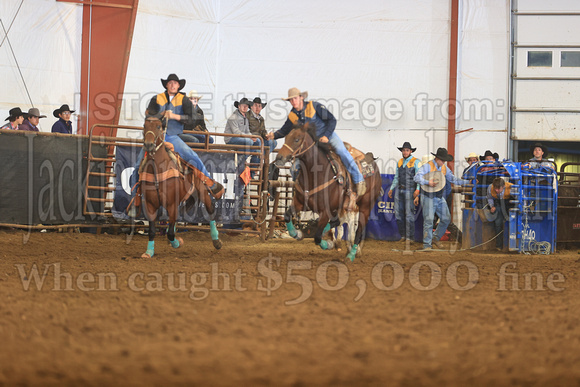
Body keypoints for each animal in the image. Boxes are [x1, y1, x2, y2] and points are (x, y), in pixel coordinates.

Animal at [138, 116, 222, 260]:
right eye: (144, 126)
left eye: (159, 126)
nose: (149, 145)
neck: (157, 171)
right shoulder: (150, 205)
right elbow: (152, 231)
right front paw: (149, 252)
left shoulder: (171, 204)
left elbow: (171, 233)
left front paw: (178, 243)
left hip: (203, 192)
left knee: (210, 211)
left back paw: (216, 241)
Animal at [276, 123, 382, 264]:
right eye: (286, 137)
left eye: (297, 139)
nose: (279, 158)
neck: (315, 175)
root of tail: (373, 163)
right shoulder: (299, 203)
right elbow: (287, 216)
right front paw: (297, 233)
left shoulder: (326, 211)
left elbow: (317, 237)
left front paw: (329, 244)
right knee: (338, 222)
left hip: (365, 206)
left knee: (358, 230)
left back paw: (351, 255)